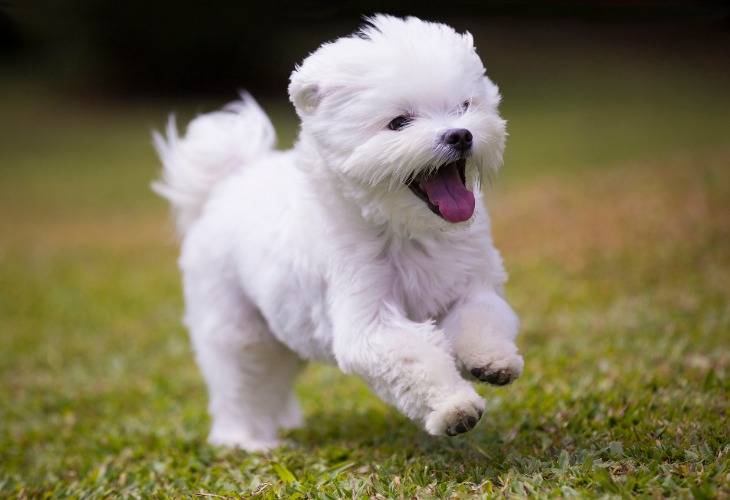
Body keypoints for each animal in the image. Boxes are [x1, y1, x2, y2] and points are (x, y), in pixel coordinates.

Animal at [154, 13, 520, 452]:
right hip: (237, 329)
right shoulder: (368, 318)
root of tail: (228, 182)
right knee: (241, 385)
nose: (460, 134)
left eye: (464, 106)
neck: (408, 230)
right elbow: (415, 358)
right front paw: (454, 408)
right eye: (399, 122)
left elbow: (481, 319)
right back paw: (247, 441)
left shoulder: (470, 285)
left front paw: (492, 361)